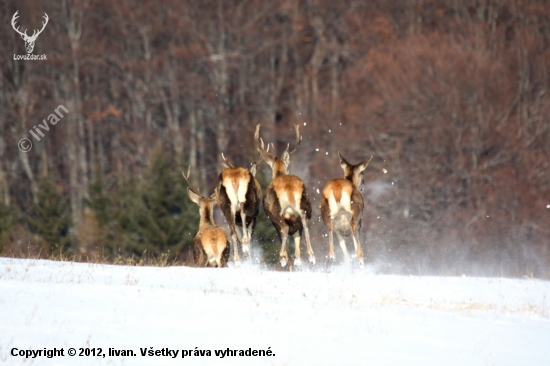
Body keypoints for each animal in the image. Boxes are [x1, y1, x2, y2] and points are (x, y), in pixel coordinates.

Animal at [254, 124, 314, 268]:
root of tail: (290, 189)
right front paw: (298, 260)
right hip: (305, 206)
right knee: (305, 223)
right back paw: (310, 256)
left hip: (276, 213)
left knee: (285, 229)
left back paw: (282, 258)